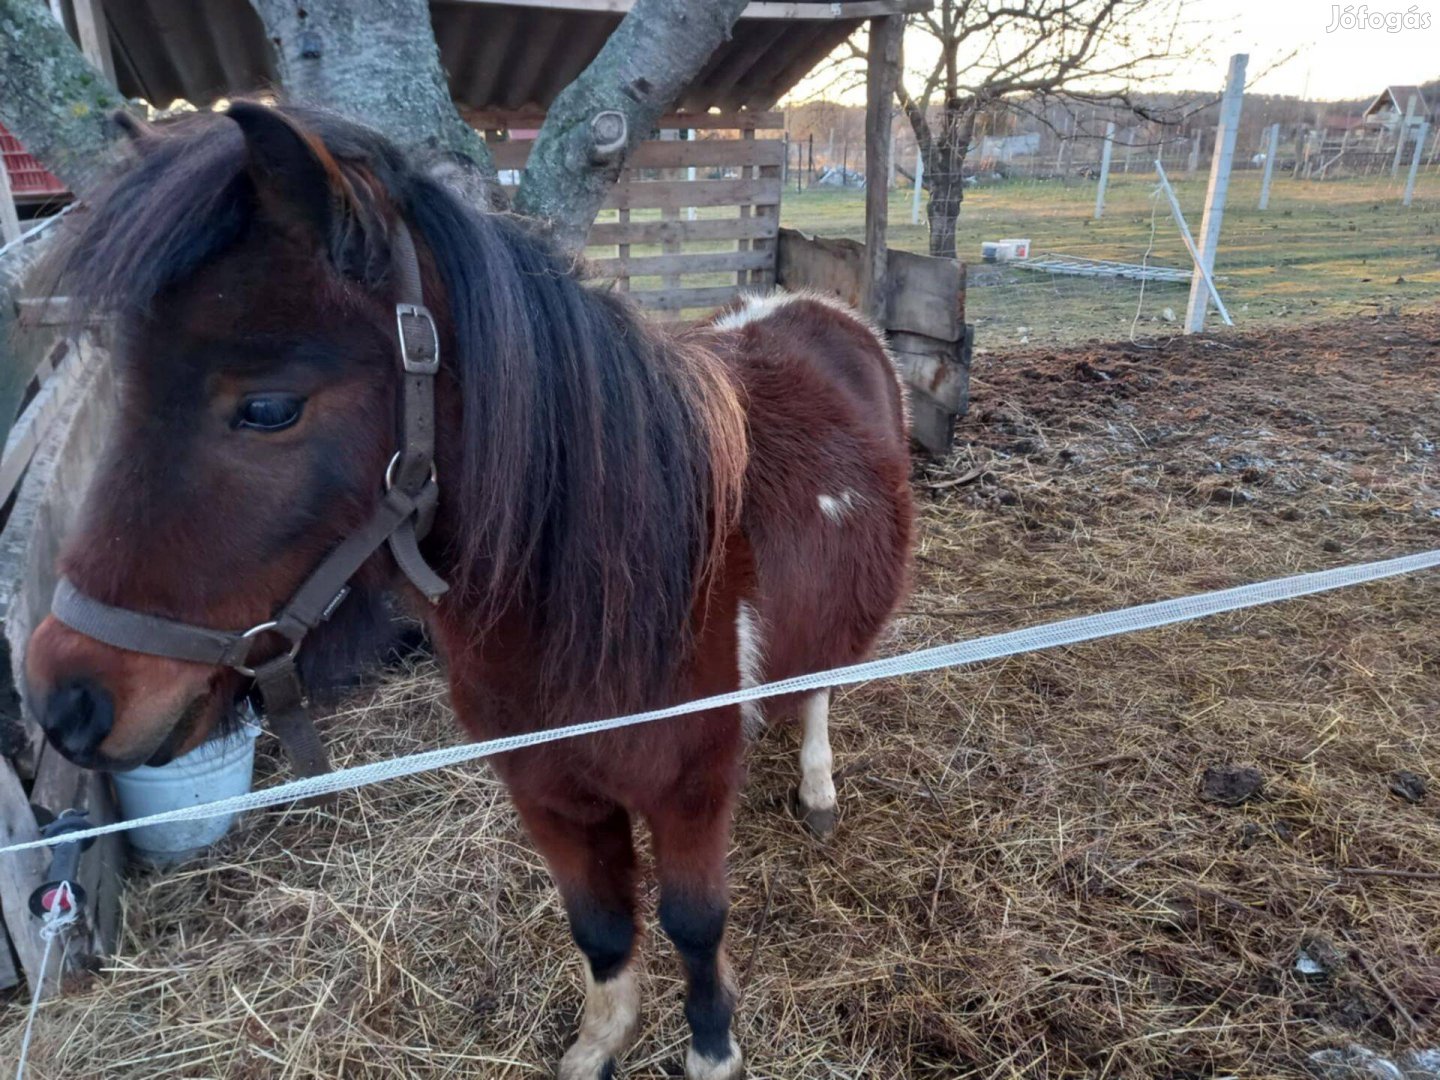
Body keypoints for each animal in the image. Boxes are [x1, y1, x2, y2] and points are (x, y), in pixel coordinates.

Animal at [28, 103, 910, 1080]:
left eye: (267, 408)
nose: (65, 699)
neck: (601, 597)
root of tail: (821, 313)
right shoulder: (549, 795)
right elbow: (601, 927)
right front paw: (598, 1045)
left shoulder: (689, 792)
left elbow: (692, 924)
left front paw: (713, 1050)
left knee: (822, 688)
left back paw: (817, 790)